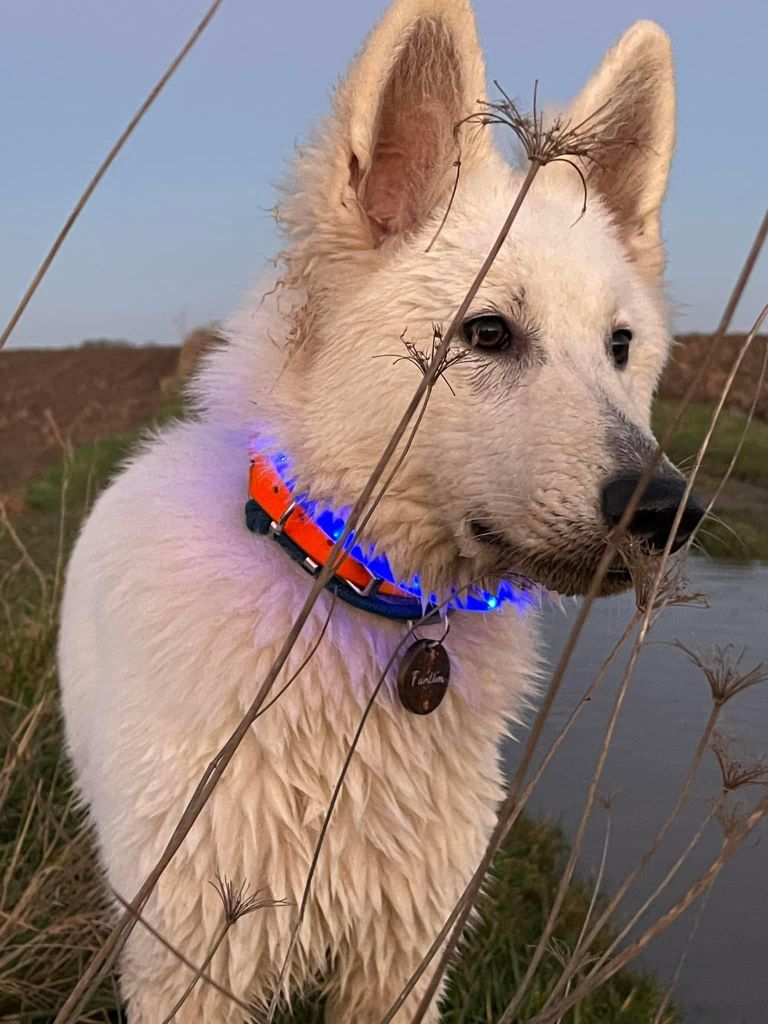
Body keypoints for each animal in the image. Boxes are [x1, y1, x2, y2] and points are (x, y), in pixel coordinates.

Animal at [58, 4, 704, 1019]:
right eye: (488, 333)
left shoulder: (406, 956)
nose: (670, 512)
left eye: (620, 346)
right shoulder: (191, 958)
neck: (358, 602)